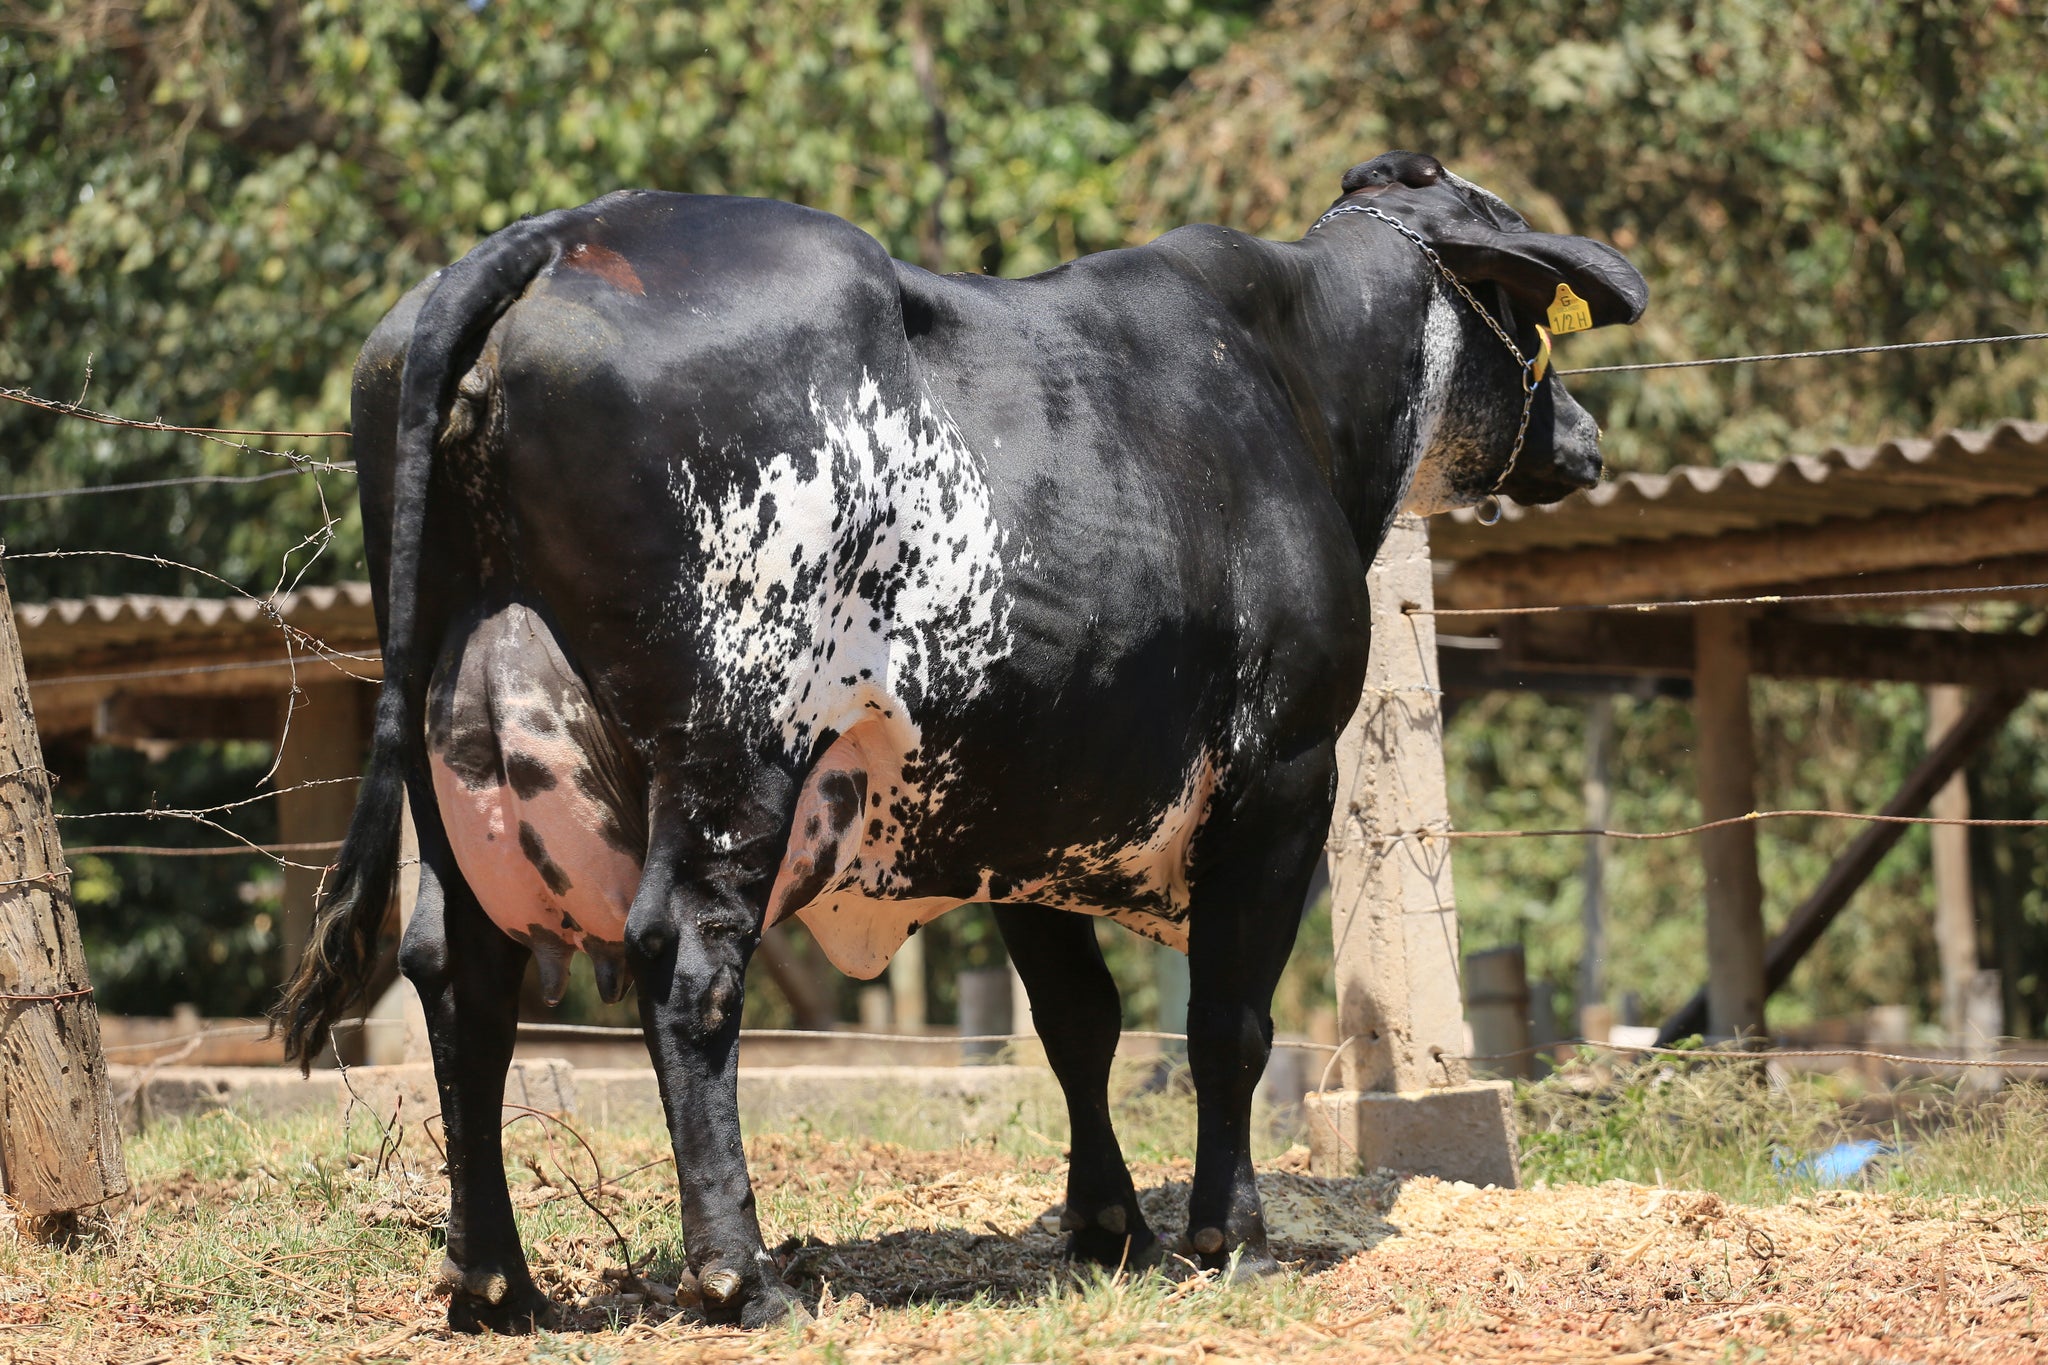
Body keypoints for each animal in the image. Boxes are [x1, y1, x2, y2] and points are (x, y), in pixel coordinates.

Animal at [276, 149, 1646, 1331]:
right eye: (1525, 313)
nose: (1581, 438)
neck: (1295, 378)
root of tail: (566, 232)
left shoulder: (1024, 804)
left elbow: (1080, 1024)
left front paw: (1106, 1229)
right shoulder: (1283, 773)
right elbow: (1229, 1024)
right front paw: (1228, 1238)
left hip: (455, 751)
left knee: (462, 974)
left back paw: (496, 1286)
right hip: (734, 746)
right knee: (686, 960)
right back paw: (738, 1276)